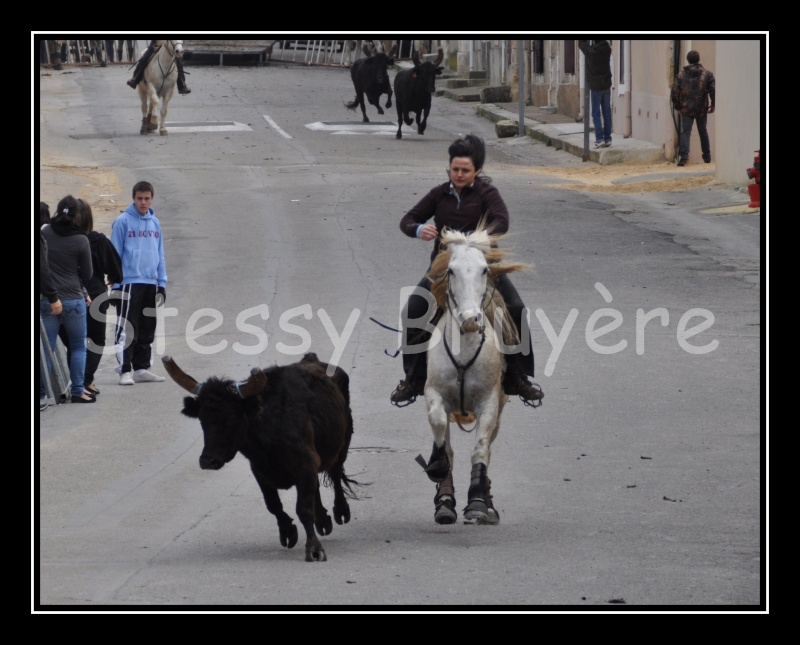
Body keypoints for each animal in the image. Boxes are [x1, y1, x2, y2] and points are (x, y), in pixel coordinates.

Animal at [418, 225, 524, 524]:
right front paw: (439, 474)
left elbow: (480, 449)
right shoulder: (434, 395)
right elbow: (440, 430)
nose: (469, 321)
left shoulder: (489, 403)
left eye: (485, 269)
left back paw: (487, 505)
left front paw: (477, 502)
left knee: (488, 448)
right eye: (451, 270)